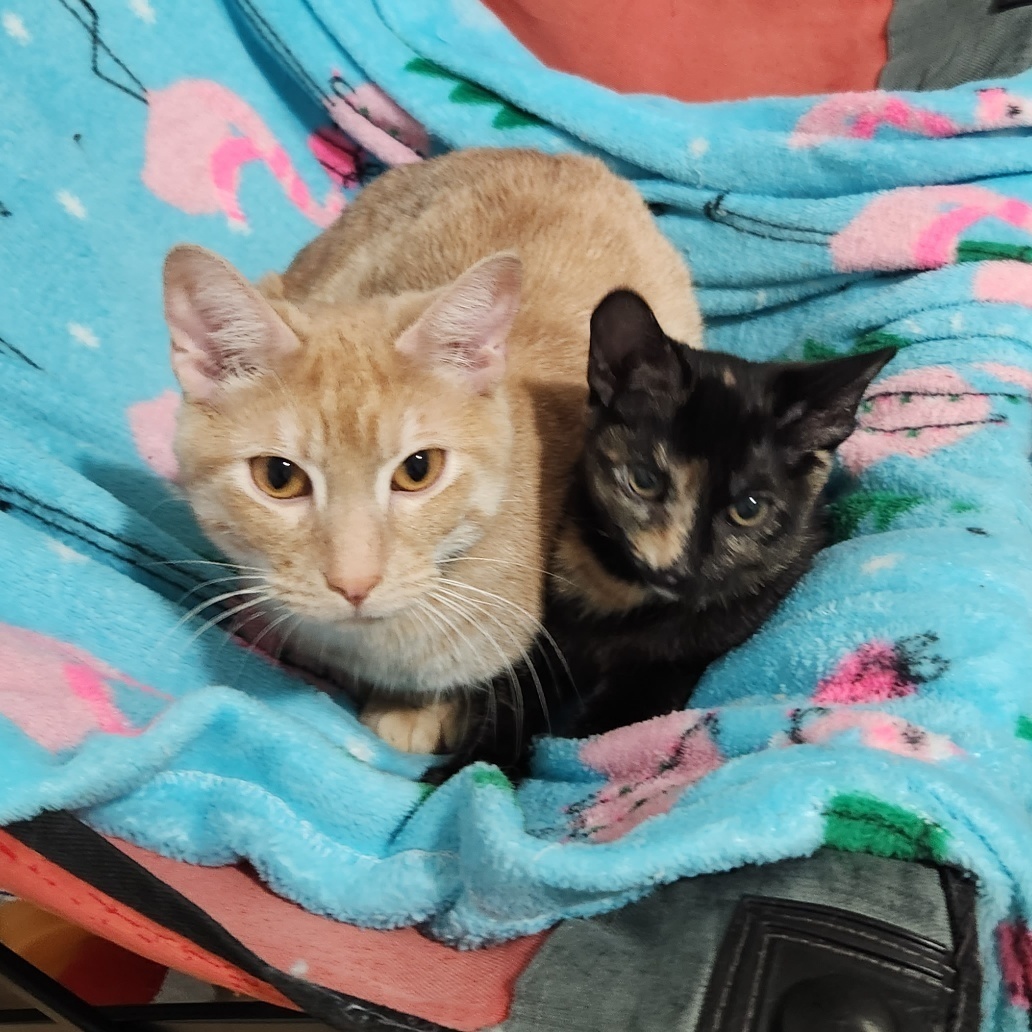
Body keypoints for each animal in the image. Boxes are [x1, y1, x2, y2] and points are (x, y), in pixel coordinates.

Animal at [431, 286, 891, 776]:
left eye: (749, 509)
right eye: (644, 481)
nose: (676, 570)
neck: (624, 594)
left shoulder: (673, 666)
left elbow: (598, 729)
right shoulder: (535, 632)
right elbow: (511, 698)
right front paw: (468, 768)